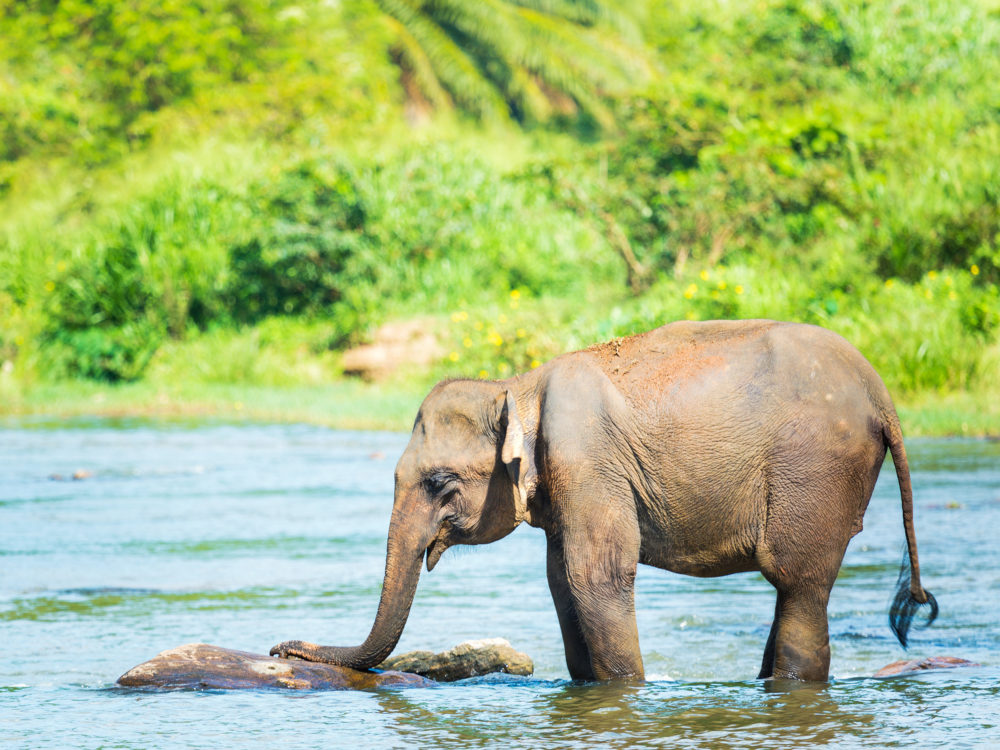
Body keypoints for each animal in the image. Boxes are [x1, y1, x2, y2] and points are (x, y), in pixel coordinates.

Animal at [274, 320, 936, 684]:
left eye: (439, 482)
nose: (281, 646)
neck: (517, 386)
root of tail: (882, 396)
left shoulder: (588, 459)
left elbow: (596, 576)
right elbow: (561, 583)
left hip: (816, 469)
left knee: (798, 586)